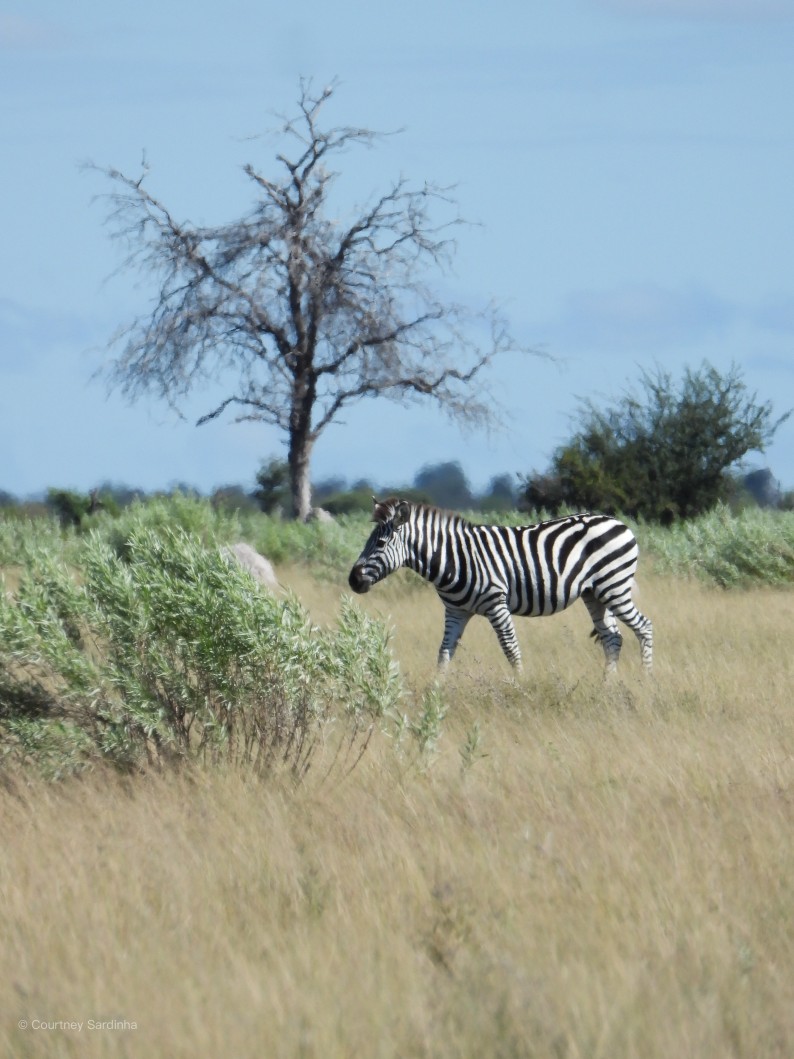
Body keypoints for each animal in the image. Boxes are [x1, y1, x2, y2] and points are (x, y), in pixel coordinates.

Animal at [348, 498, 653, 675]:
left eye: (380, 543)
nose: (353, 580)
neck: (454, 559)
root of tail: (619, 522)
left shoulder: (497, 604)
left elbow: (510, 649)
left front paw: (521, 687)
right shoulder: (455, 612)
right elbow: (444, 654)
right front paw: (436, 696)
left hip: (614, 586)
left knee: (644, 626)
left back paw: (646, 681)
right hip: (595, 593)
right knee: (612, 638)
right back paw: (607, 687)